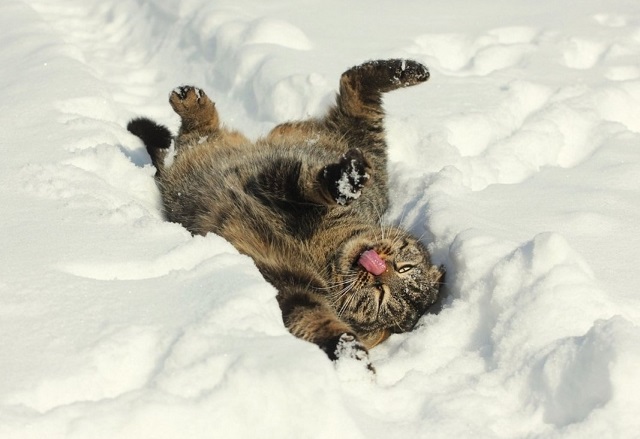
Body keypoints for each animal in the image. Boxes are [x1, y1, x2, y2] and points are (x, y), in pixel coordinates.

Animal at [127, 59, 442, 372]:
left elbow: (320, 323)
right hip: (361, 144)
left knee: (191, 138)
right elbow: (308, 183)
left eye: (381, 296)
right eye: (404, 268)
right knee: (353, 86)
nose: (379, 269)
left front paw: (353, 361)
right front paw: (343, 180)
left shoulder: (294, 289)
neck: (325, 248)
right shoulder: (280, 182)